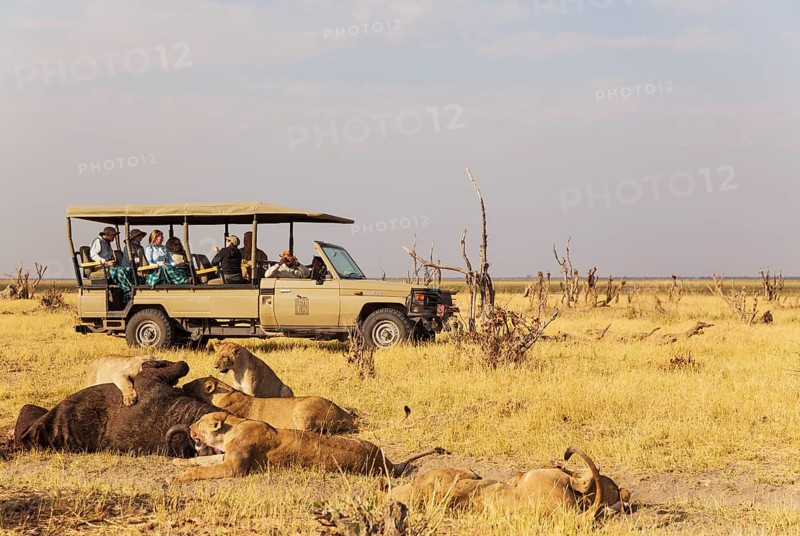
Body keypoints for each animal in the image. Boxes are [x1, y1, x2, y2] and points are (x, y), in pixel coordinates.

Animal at [167, 412, 446, 483]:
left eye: (198, 423)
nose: (189, 427)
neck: (233, 428)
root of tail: (386, 461)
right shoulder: (226, 458)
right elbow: (202, 461)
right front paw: (178, 462)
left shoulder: (235, 468)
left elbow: (203, 469)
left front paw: (177, 477)